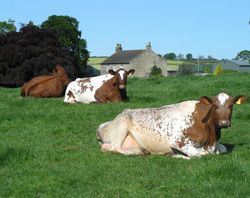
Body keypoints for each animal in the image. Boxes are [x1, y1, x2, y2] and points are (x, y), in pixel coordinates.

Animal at [96, 93, 247, 159]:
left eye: (231, 105)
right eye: (214, 105)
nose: (224, 123)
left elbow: (223, 149)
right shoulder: (178, 141)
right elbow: (196, 155)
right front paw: (175, 155)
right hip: (122, 124)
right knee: (114, 148)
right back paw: (137, 152)